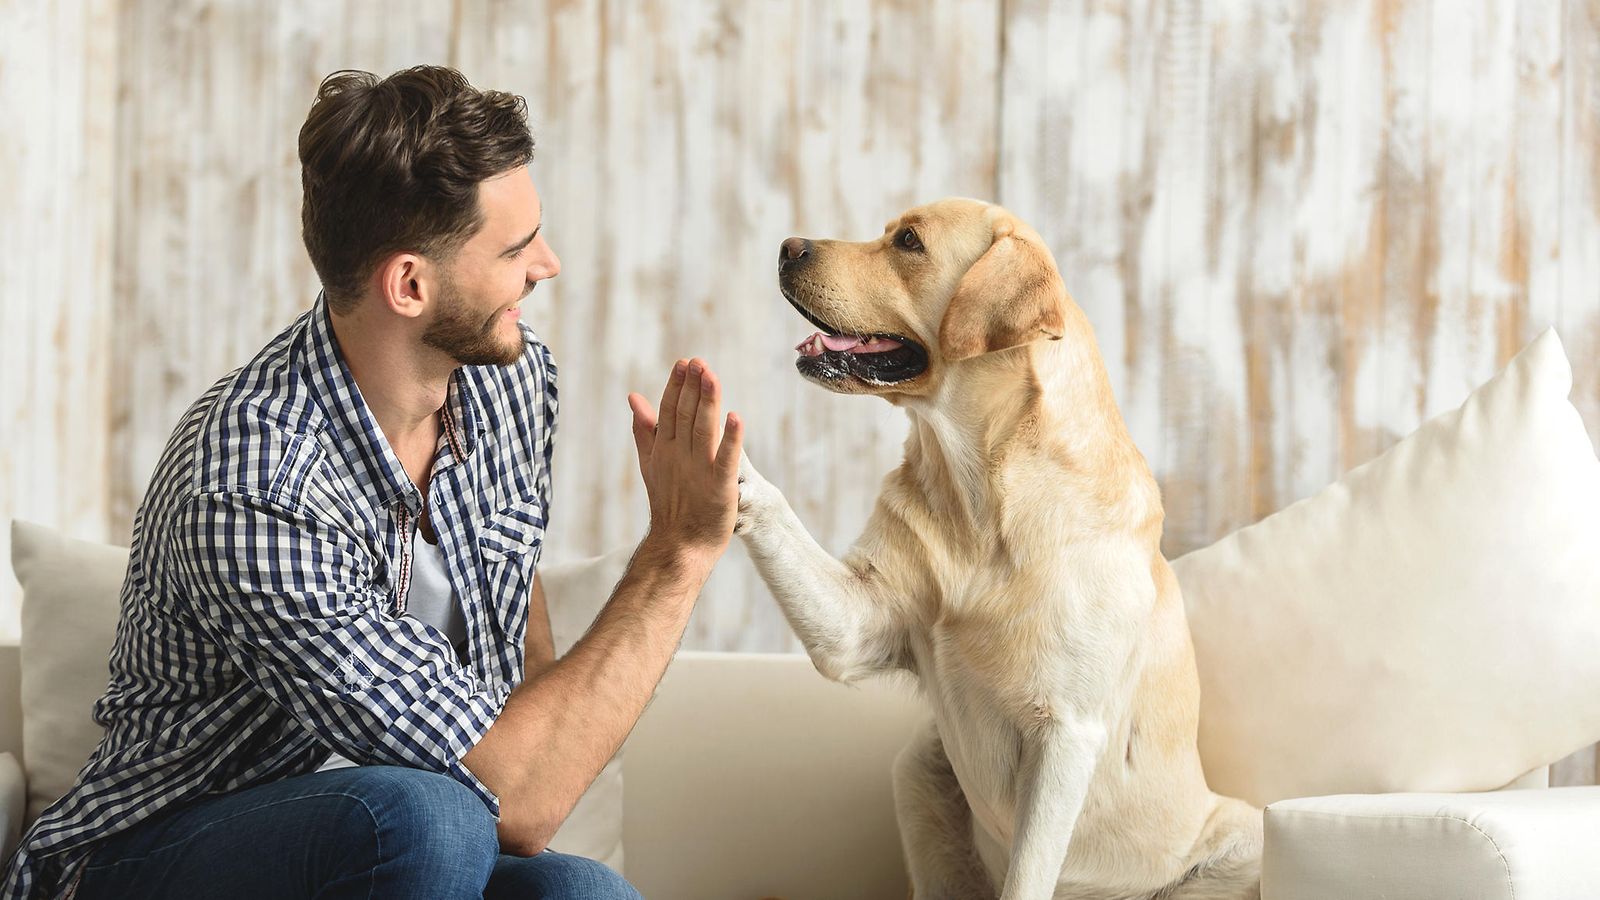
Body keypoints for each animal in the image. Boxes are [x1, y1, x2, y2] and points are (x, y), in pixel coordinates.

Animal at [732, 199, 1260, 890]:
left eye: (908, 241)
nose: (787, 247)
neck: (981, 495)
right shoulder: (856, 624)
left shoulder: (1066, 733)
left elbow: (1029, 876)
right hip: (920, 768)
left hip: (1244, 837)